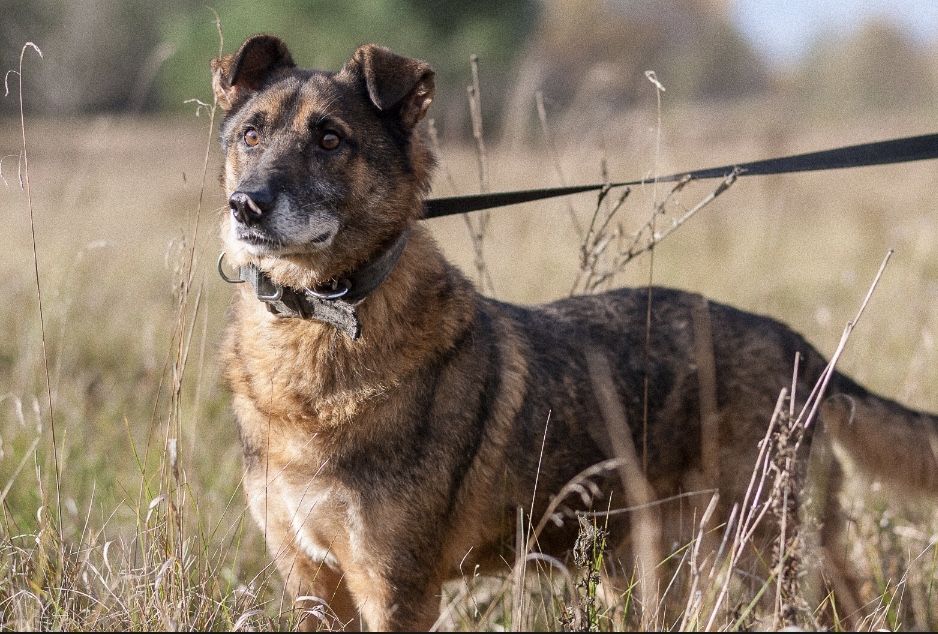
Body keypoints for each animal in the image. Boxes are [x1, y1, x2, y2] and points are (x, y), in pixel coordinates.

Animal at [212, 37, 936, 628]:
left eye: (331, 139)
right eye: (250, 135)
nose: (246, 206)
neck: (317, 328)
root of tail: (800, 348)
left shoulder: (396, 587)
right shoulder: (312, 583)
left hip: (774, 551)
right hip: (649, 569)